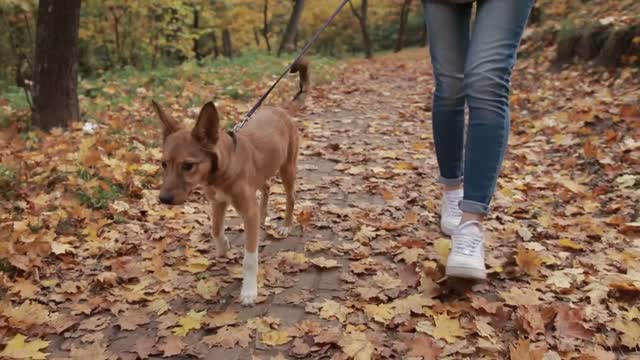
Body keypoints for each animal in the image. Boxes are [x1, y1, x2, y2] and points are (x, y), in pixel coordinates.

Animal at [152, 60, 308, 306]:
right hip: (263, 175)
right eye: (163, 164)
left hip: (287, 169)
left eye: (188, 166)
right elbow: (215, 229)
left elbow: (250, 258)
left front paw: (249, 291)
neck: (221, 172)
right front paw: (223, 247)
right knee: (265, 188)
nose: (164, 199)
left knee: (290, 196)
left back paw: (286, 225)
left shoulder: (244, 209)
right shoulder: (218, 203)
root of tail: (281, 110)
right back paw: (262, 217)